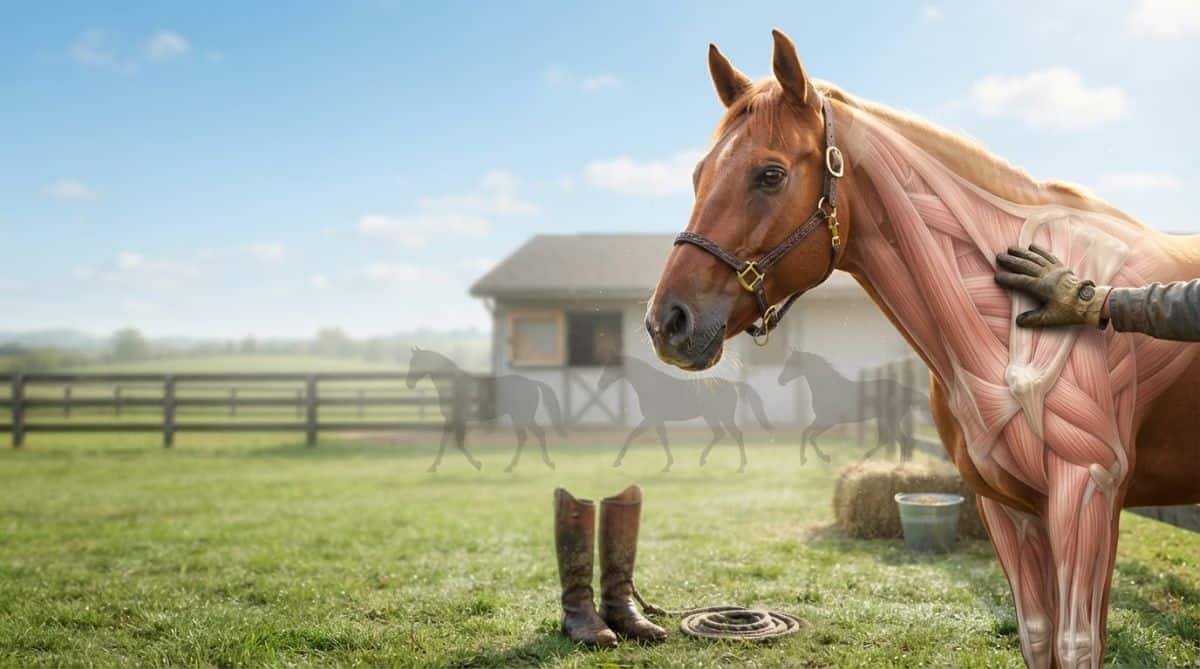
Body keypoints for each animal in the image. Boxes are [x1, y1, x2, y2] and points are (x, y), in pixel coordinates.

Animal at [406, 347, 566, 473]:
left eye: (416, 363)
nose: (409, 384)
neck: (453, 385)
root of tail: (532, 383)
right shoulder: (451, 420)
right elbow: (445, 442)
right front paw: (432, 467)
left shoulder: (459, 419)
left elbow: (459, 443)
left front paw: (477, 464)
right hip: (524, 417)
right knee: (535, 435)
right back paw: (543, 464)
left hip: (520, 416)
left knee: (526, 436)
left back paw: (515, 466)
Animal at [598, 355, 771, 472]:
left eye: (611, 367)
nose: (600, 384)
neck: (651, 384)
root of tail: (730, 383)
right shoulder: (654, 419)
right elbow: (659, 438)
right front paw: (668, 465)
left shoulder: (652, 418)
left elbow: (634, 435)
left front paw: (617, 462)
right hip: (713, 416)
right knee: (721, 434)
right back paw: (704, 460)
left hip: (721, 416)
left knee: (735, 434)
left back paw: (740, 466)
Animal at [778, 349, 929, 464]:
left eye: (791, 363)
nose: (780, 380)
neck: (827, 386)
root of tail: (904, 389)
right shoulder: (822, 420)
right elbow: (806, 433)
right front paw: (806, 460)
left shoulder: (828, 421)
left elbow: (810, 435)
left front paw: (822, 458)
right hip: (884, 420)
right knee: (889, 440)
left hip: (890, 420)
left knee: (902, 441)